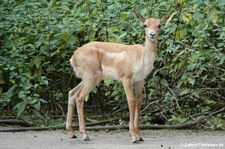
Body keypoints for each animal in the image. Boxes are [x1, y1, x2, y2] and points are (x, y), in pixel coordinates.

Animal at [66, 10, 173, 143]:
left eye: (159, 25)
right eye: (145, 25)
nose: (152, 34)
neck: (141, 57)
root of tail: (73, 57)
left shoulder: (139, 80)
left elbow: (139, 102)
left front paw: (139, 135)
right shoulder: (126, 78)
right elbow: (131, 101)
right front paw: (133, 136)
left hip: (88, 79)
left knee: (72, 93)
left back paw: (72, 133)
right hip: (91, 78)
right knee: (79, 97)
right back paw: (85, 135)